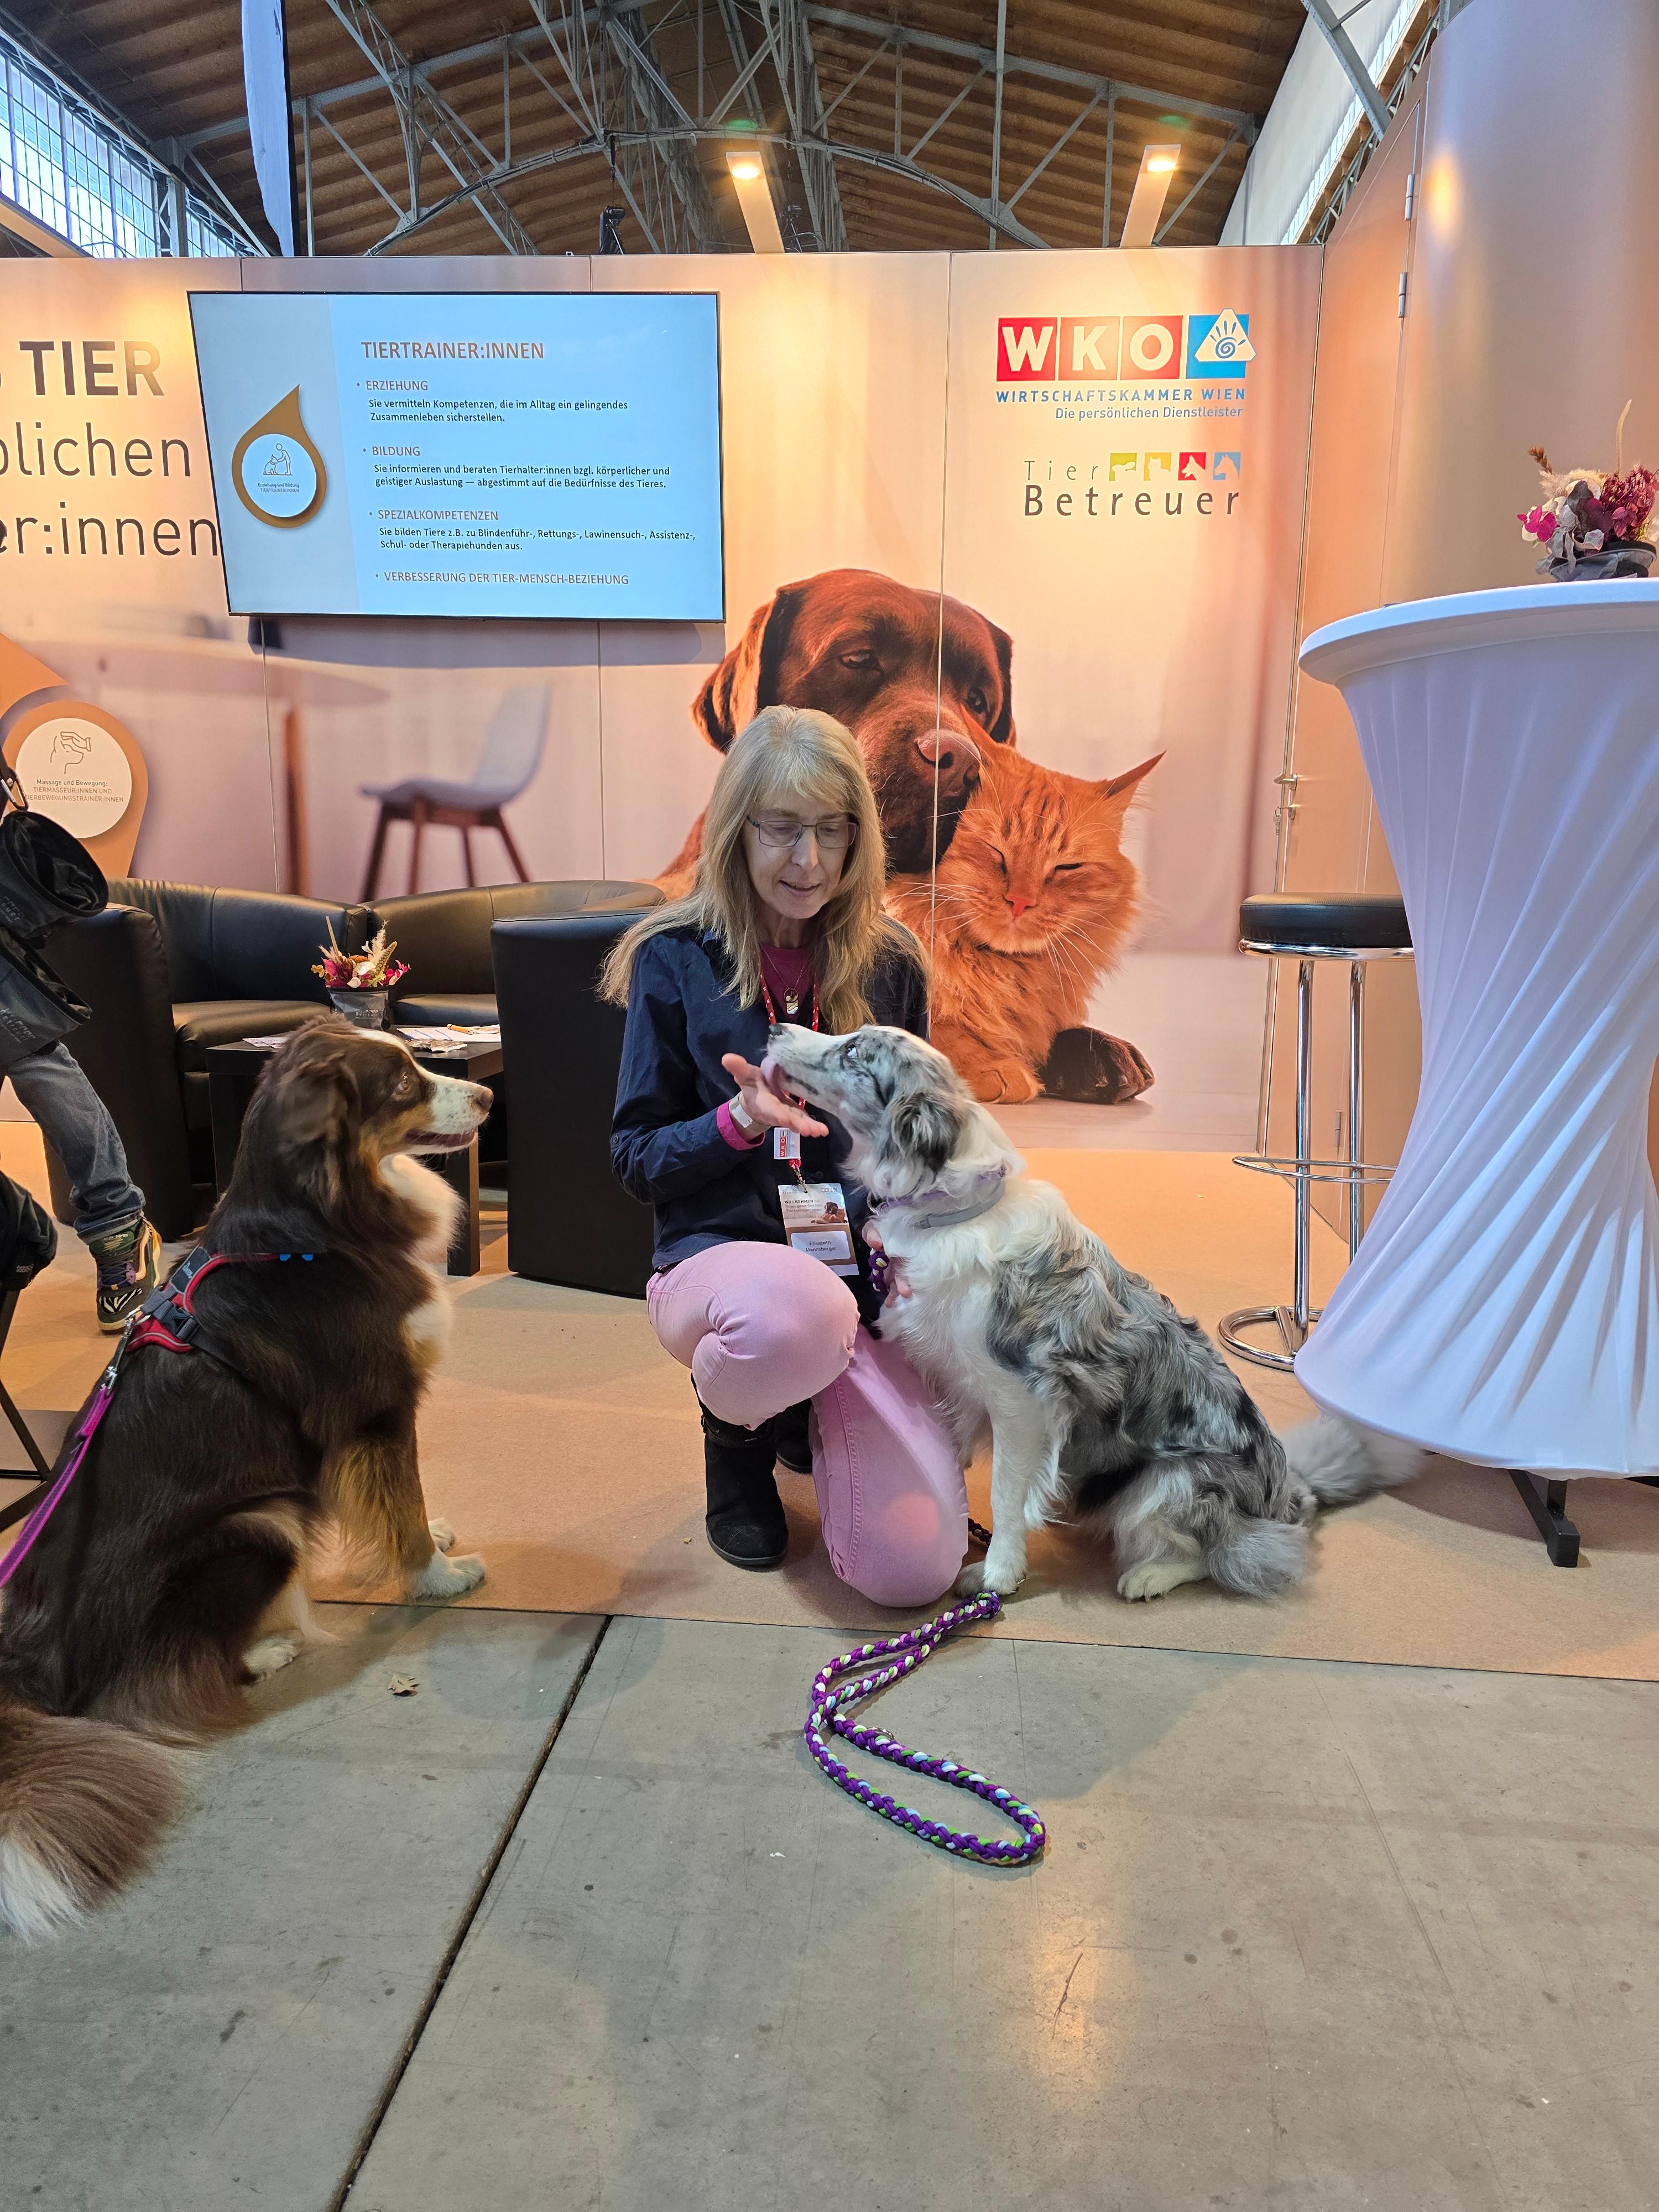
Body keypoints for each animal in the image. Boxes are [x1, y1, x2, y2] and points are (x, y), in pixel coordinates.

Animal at [0, 1018, 490, 1940]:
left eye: (414, 1054)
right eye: (403, 1084)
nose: (484, 1094)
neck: (316, 1223)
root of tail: (32, 1668)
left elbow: (407, 1499)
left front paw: (441, 1533)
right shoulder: (378, 1408)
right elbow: (401, 1504)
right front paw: (440, 1576)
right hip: (257, 1526)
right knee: (159, 1681)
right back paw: (267, 1646)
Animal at [761, 1022, 1422, 1604]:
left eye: (854, 1051)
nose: (774, 1029)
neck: (955, 1208)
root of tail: (1287, 1492)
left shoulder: (1022, 1399)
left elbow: (1006, 1496)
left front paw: (998, 1574)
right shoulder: (961, 1379)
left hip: (1166, 1487)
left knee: (1233, 1552)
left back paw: (1150, 1576)